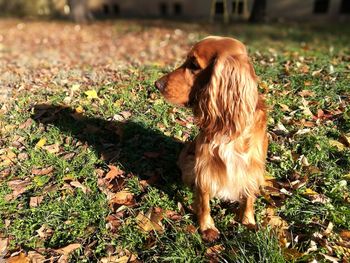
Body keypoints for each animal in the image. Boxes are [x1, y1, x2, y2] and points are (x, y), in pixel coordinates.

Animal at [154, 36, 266, 242]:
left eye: (194, 65)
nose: (157, 84)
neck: (230, 130)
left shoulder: (252, 167)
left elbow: (249, 197)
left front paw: (248, 221)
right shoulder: (204, 166)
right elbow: (204, 200)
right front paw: (207, 227)